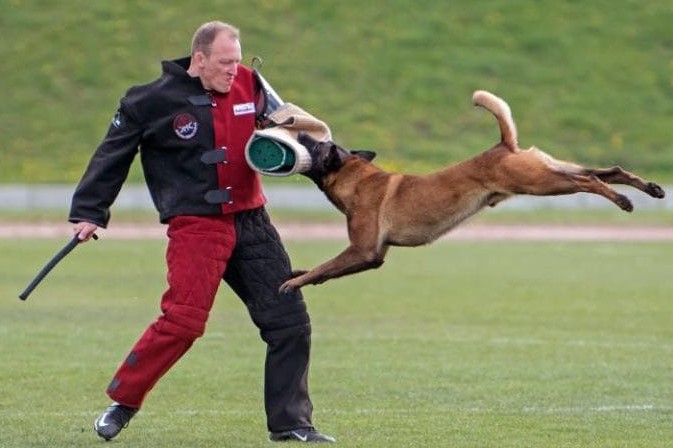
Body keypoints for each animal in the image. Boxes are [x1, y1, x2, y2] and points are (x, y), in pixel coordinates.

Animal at [276, 91, 660, 294]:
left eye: (317, 146)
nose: (301, 132)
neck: (357, 177)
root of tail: (503, 145)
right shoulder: (373, 255)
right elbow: (327, 269)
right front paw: (297, 275)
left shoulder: (364, 250)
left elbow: (325, 266)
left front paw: (294, 283)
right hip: (548, 170)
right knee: (605, 171)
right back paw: (649, 188)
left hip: (540, 183)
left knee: (591, 182)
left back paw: (624, 200)